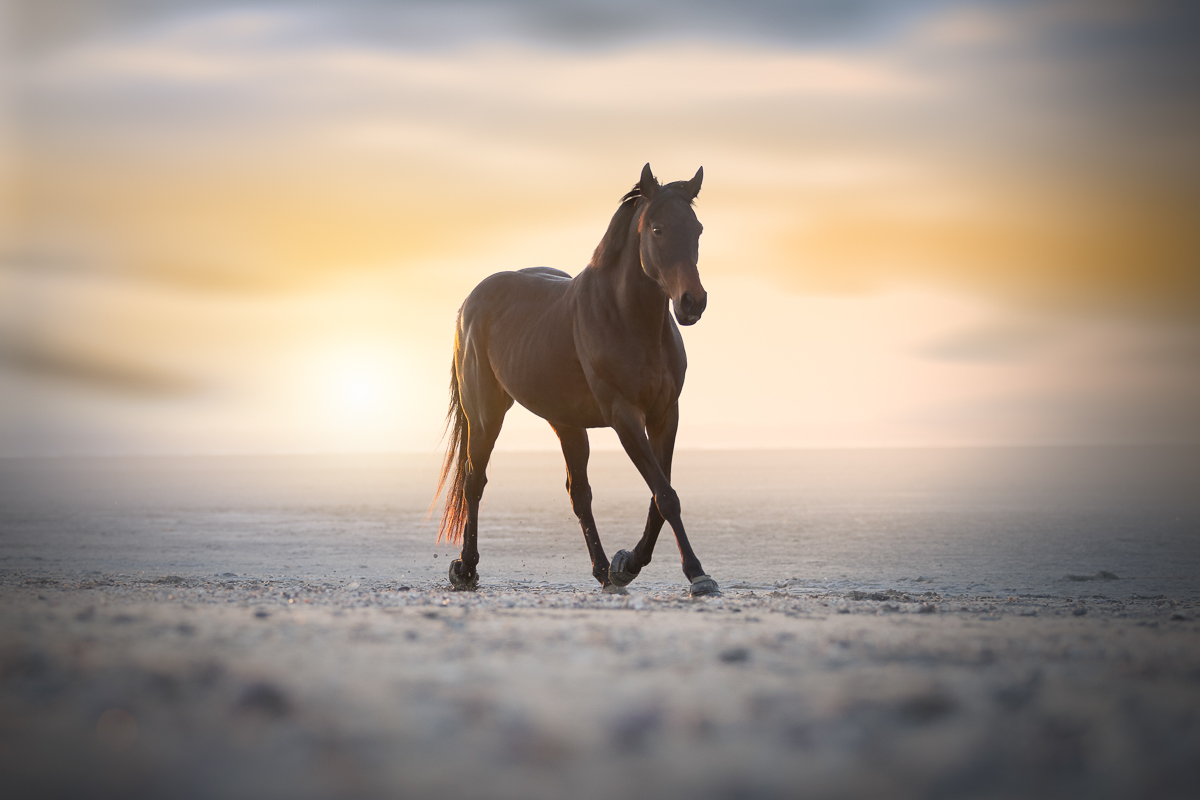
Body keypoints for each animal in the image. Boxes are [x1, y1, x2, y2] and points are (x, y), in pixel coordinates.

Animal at [433, 164, 719, 597]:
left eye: (698, 229)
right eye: (657, 229)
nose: (692, 302)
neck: (630, 319)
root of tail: (469, 303)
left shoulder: (665, 415)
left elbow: (659, 496)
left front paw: (626, 564)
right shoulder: (624, 417)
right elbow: (666, 496)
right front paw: (697, 574)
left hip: (565, 423)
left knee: (579, 495)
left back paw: (603, 570)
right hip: (485, 417)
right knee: (473, 482)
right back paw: (465, 569)